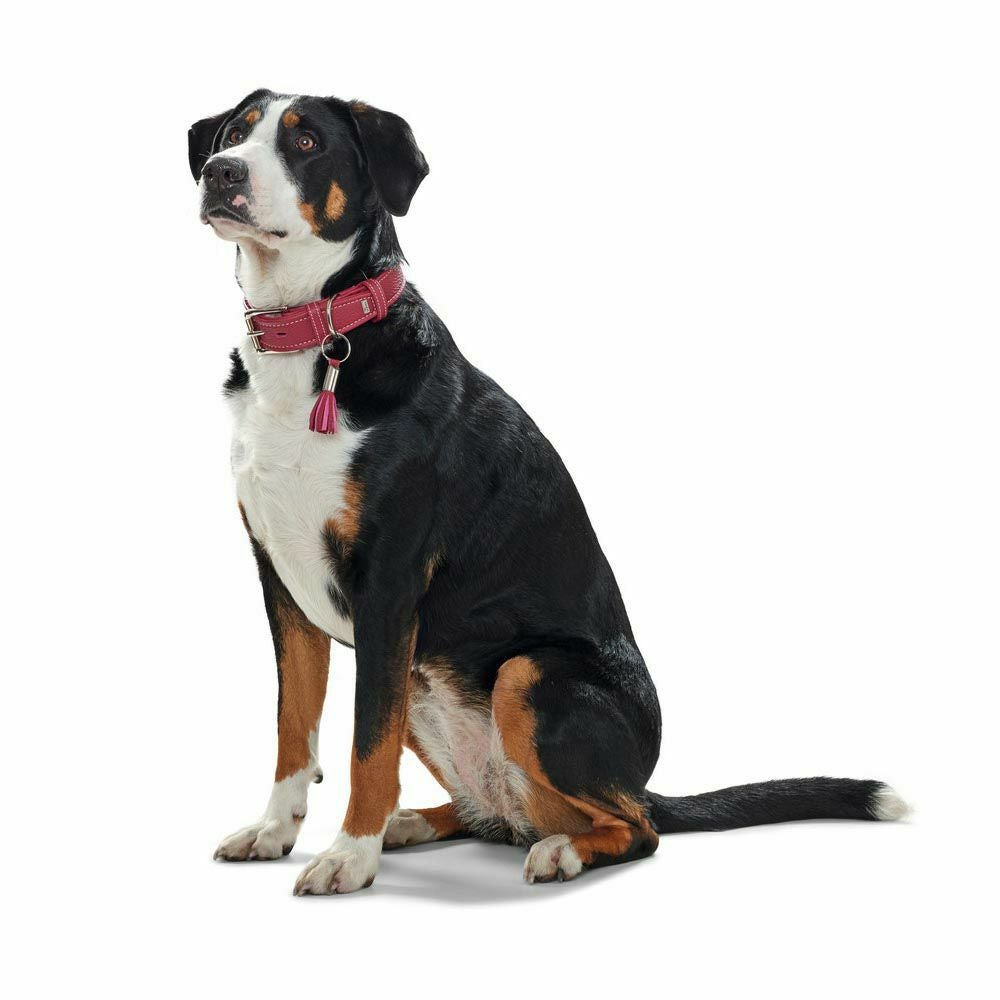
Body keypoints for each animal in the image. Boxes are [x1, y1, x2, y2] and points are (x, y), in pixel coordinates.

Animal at [189, 89, 908, 896]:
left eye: (307, 140)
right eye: (234, 133)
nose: (221, 173)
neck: (314, 336)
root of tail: (639, 775)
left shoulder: (388, 587)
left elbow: (364, 746)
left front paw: (349, 856)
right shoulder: (281, 580)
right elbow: (295, 727)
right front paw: (274, 833)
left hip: (526, 673)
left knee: (635, 827)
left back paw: (556, 851)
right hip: (426, 677)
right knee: (505, 813)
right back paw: (422, 824)